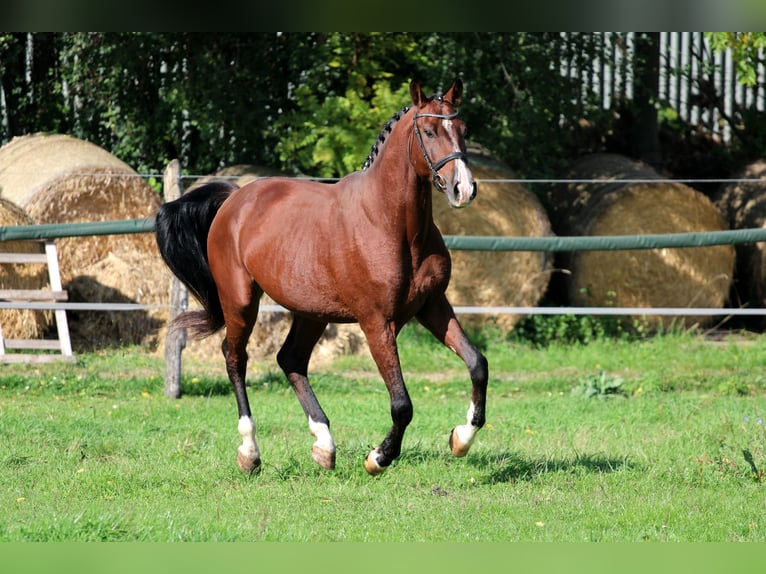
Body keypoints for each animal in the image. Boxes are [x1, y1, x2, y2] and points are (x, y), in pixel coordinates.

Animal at [156, 80, 488, 476]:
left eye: (463, 129)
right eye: (428, 131)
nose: (463, 189)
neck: (389, 223)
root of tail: (235, 199)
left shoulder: (433, 307)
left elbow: (477, 365)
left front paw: (461, 439)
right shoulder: (377, 322)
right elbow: (402, 404)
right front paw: (378, 457)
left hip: (311, 313)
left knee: (290, 359)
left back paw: (324, 446)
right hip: (240, 301)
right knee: (235, 358)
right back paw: (250, 453)